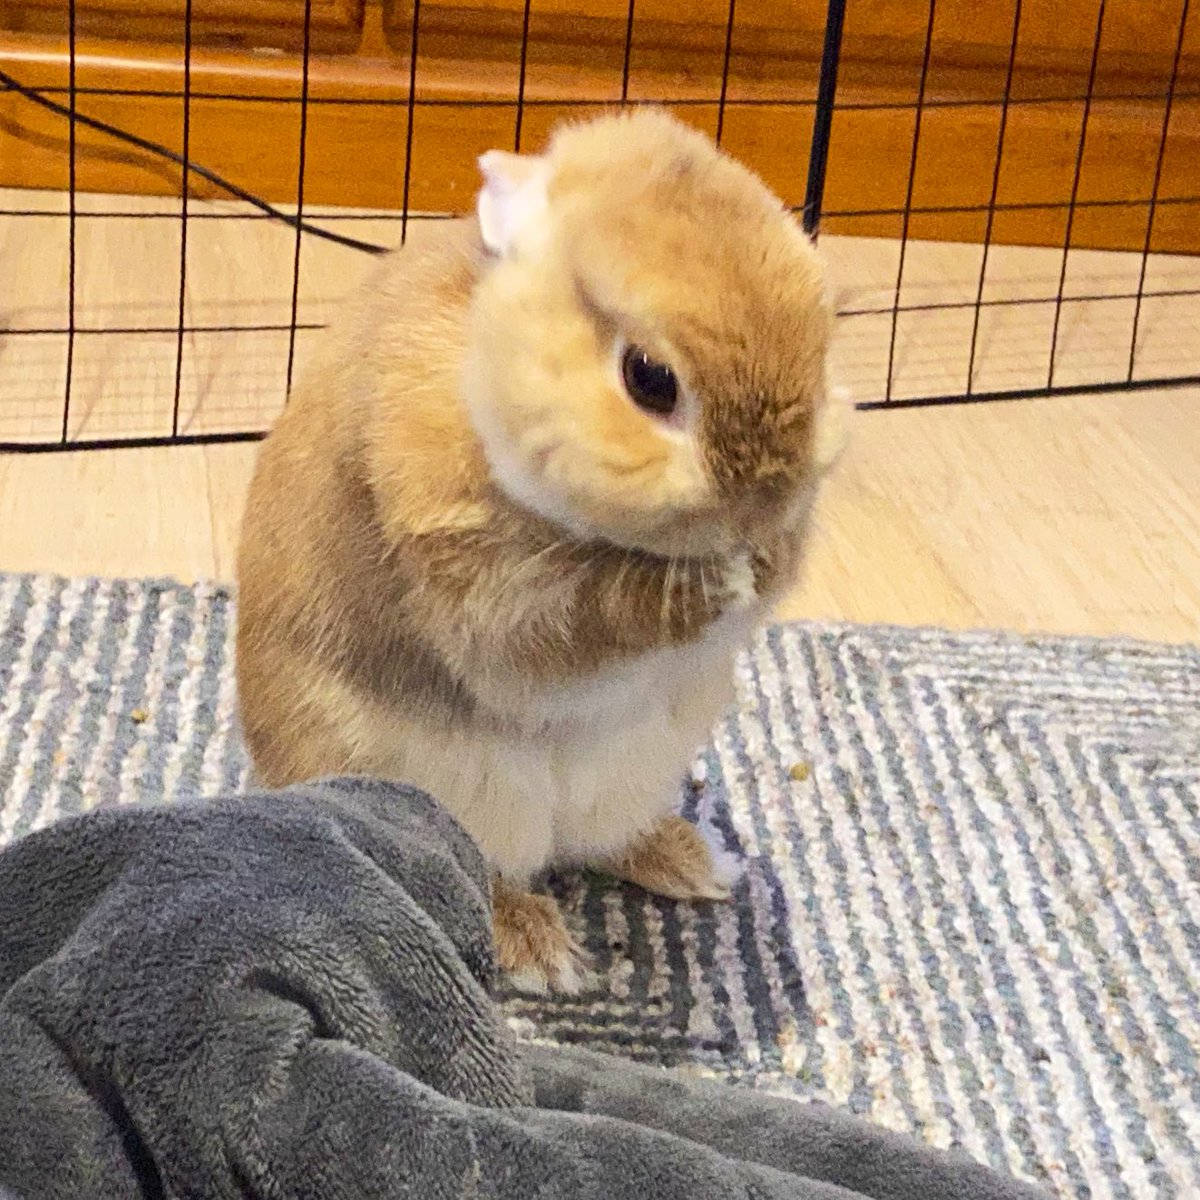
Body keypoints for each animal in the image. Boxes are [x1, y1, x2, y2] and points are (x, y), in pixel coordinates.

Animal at [235, 107, 846, 993]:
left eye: (824, 348)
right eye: (649, 377)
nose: (769, 491)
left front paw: (767, 557)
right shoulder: (482, 588)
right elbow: (585, 620)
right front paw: (720, 582)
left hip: (639, 768)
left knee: (602, 840)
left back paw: (694, 863)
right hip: (432, 794)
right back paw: (539, 951)